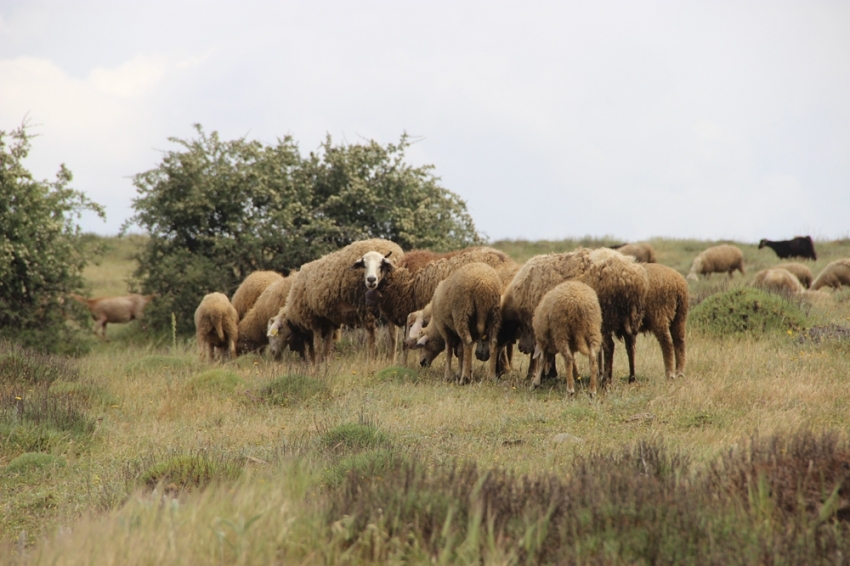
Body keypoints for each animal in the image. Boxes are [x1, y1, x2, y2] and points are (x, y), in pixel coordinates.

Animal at [500, 247, 644, 386]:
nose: (520, 348)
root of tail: (627, 276)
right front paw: (551, 374)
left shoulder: (541, 325)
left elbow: (543, 351)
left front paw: (539, 375)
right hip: (629, 317)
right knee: (630, 344)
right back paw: (632, 377)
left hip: (606, 318)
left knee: (610, 347)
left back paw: (606, 381)